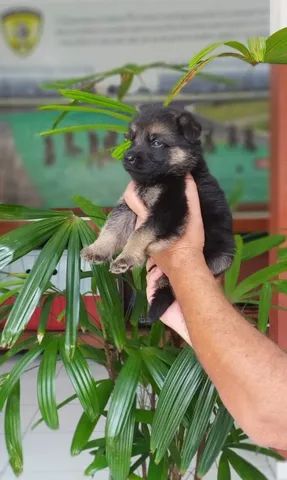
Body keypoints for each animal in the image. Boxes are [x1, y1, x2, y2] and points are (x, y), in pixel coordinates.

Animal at [82, 105, 235, 322]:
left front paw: (127, 258)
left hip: (221, 258)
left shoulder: (169, 208)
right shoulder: (128, 206)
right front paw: (98, 249)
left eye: (156, 142)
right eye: (131, 139)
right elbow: (112, 227)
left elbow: (140, 233)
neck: (158, 179)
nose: (127, 157)